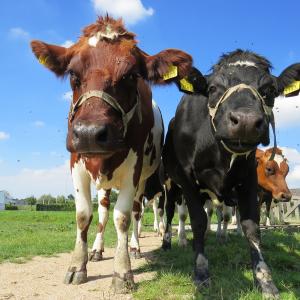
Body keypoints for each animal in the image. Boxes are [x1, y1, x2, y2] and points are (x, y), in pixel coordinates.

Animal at [31, 15, 195, 292]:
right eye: (73, 74)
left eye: (131, 75)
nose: (89, 133)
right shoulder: (77, 162)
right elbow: (84, 215)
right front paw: (77, 265)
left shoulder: (134, 170)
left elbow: (123, 218)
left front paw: (122, 271)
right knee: (104, 210)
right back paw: (97, 249)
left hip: (144, 181)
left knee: (137, 212)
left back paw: (134, 246)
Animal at [163, 49, 300, 298]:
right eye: (213, 88)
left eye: (269, 90)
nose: (245, 121)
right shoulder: (187, 181)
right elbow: (197, 221)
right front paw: (201, 274)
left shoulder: (248, 181)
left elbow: (251, 227)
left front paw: (265, 281)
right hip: (170, 184)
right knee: (170, 212)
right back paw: (169, 241)